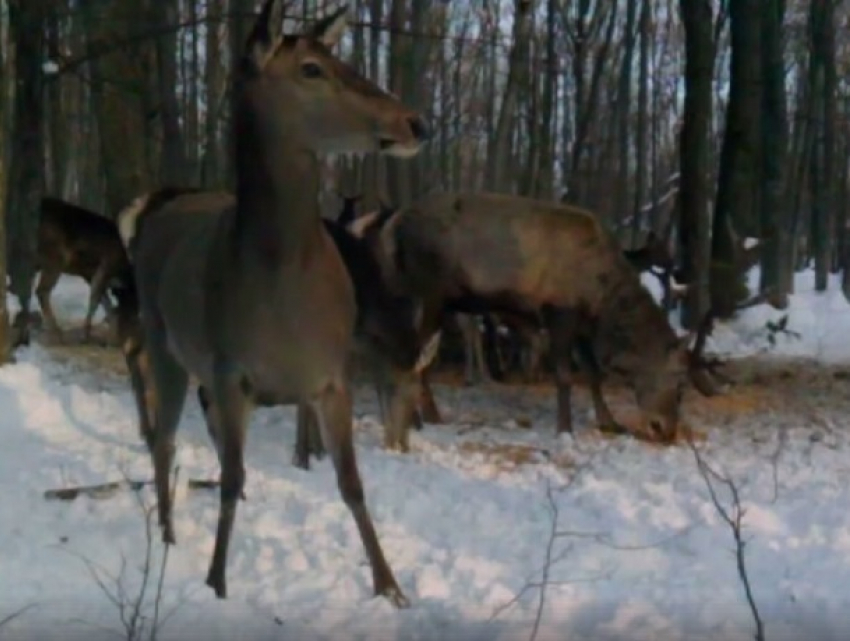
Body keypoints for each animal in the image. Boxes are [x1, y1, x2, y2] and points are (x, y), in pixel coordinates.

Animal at [20, 198, 132, 342]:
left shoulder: (89, 275)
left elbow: (106, 304)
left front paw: (112, 338)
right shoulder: (105, 267)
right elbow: (96, 301)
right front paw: (87, 335)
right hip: (54, 257)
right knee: (42, 290)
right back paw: (57, 333)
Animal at [116, 0, 428, 604]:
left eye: (342, 57)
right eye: (311, 69)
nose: (414, 122)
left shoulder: (331, 374)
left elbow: (351, 483)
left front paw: (390, 586)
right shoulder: (230, 365)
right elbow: (230, 477)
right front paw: (215, 583)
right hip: (165, 339)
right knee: (163, 440)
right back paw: (166, 535)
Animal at [348, 190, 712, 444]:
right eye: (680, 384)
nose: (665, 430)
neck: (601, 298)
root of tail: (390, 226)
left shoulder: (582, 323)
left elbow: (593, 374)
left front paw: (609, 421)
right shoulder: (559, 311)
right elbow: (565, 375)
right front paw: (565, 428)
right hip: (428, 294)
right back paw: (421, 417)